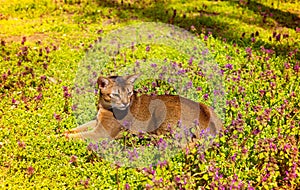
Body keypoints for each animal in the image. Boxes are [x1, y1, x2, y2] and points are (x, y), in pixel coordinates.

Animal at [67, 73, 224, 145]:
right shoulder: (96, 121)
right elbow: (79, 128)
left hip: (160, 111)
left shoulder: (101, 133)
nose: (125, 103)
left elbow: (79, 136)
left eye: (129, 92)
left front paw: (61, 137)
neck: (104, 106)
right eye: (116, 94)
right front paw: (65, 130)